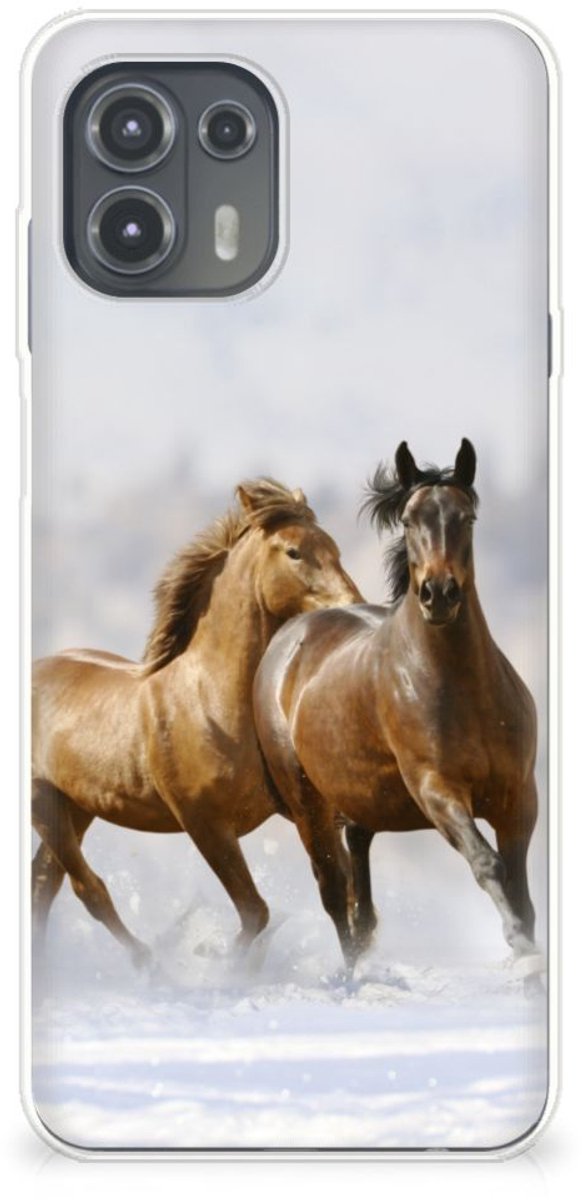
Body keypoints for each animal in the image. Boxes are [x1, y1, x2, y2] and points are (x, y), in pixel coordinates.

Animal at [31, 478, 362, 966]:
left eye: (335, 547)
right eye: (294, 552)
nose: (353, 607)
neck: (211, 702)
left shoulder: (302, 809)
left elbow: (337, 888)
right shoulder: (204, 823)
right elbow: (255, 912)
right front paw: (219, 963)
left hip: (75, 805)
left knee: (43, 882)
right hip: (42, 802)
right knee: (86, 888)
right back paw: (149, 963)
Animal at [253, 441, 539, 969]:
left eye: (467, 517)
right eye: (408, 520)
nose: (438, 594)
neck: (463, 691)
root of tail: (288, 638)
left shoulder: (519, 797)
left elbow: (522, 891)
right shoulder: (437, 790)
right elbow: (488, 864)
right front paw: (521, 948)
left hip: (360, 802)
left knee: (359, 895)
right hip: (308, 806)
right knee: (334, 893)